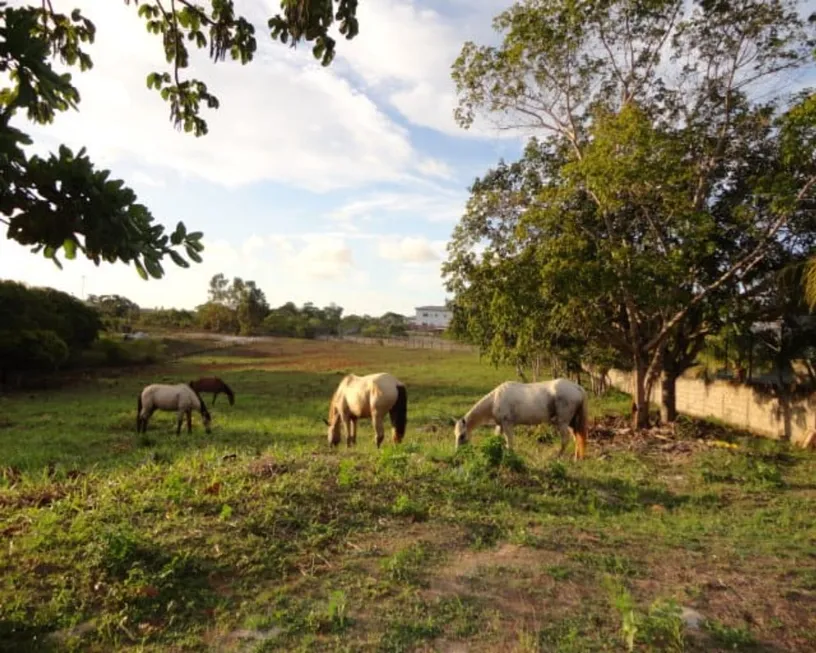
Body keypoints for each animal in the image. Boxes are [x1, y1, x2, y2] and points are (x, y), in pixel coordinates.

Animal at [456, 374, 588, 460]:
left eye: (462, 436)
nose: (458, 453)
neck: (494, 400)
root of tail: (577, 388)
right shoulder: (500, 425)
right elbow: (497, 439)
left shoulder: (508, 425)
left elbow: (510, 442)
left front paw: (510, 457)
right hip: (571, 423)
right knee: (576, 437)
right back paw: (576, 458)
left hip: (562, 422)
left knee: (565, 440)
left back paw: (558, 457)